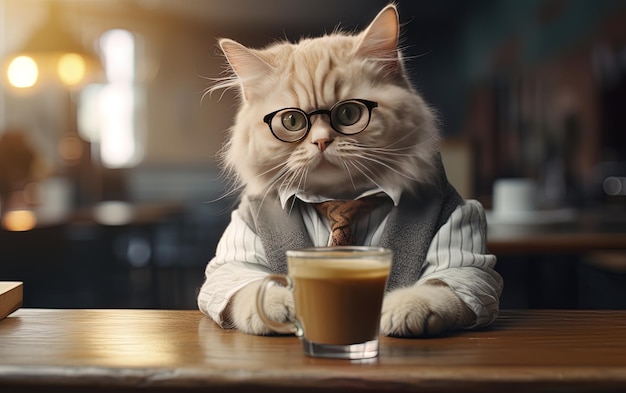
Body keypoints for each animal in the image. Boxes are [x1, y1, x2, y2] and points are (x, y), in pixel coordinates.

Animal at [197, 3, 500, 336]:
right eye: (291, 121)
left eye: (349, 114)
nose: (321, 141)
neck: (340, 198)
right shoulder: (233, 256)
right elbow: (247, 287)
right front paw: (282, 307)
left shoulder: (467, 256)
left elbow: (441, 288)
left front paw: (404, 309)